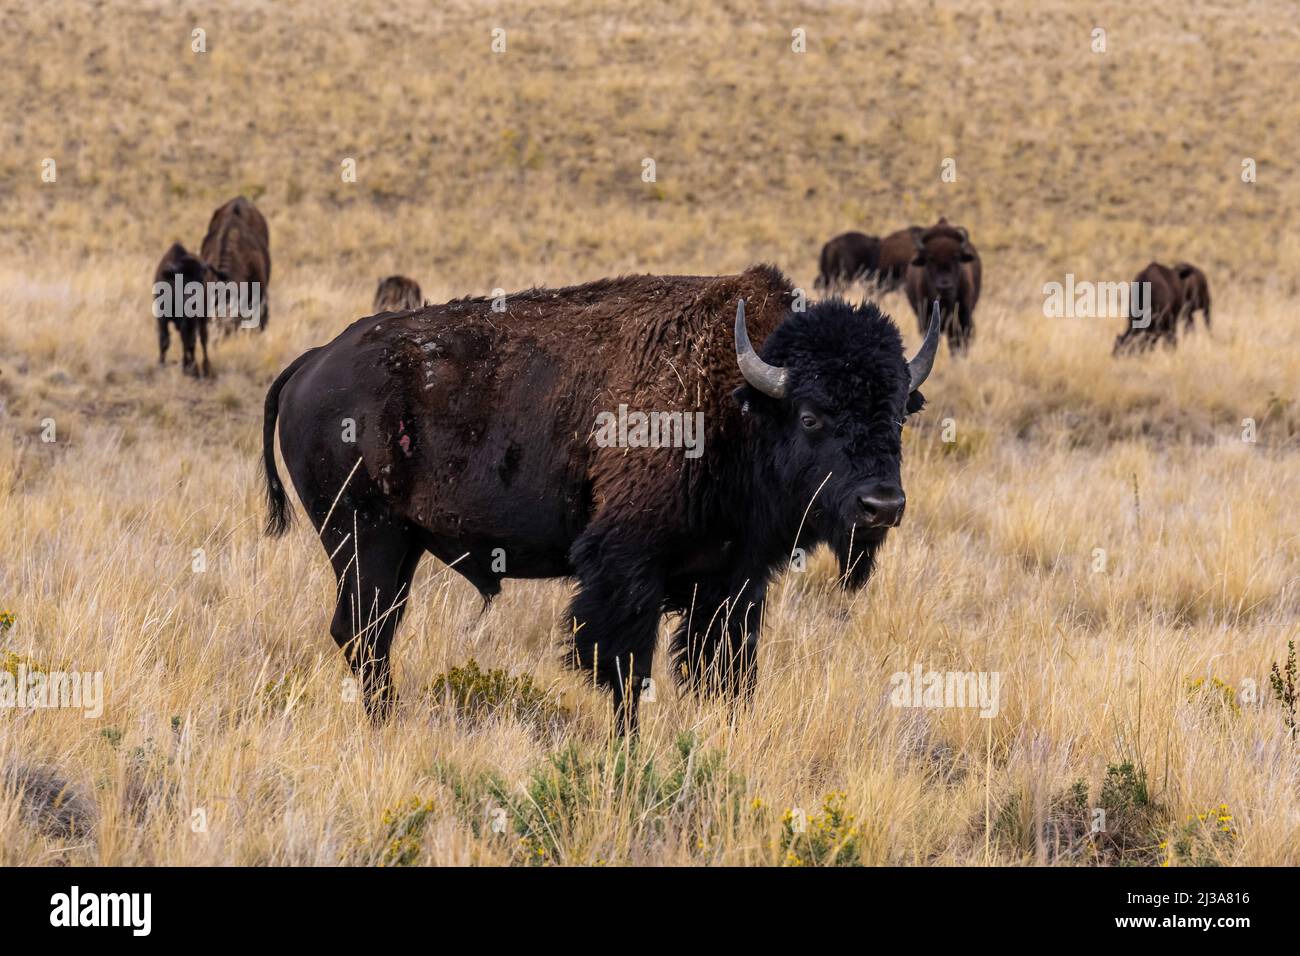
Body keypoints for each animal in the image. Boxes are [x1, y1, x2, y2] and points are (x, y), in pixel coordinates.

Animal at [261, 266, 941, 732]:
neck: (737, 399)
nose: (882, 506)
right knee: (362, 634)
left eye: (897, 415)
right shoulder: (626, 570)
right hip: (364, 538)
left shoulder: (735, 581)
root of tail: (313, 363)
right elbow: (624, 668)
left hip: (397, 548)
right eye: (810, 415)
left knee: (372, 635)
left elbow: (723, 670)